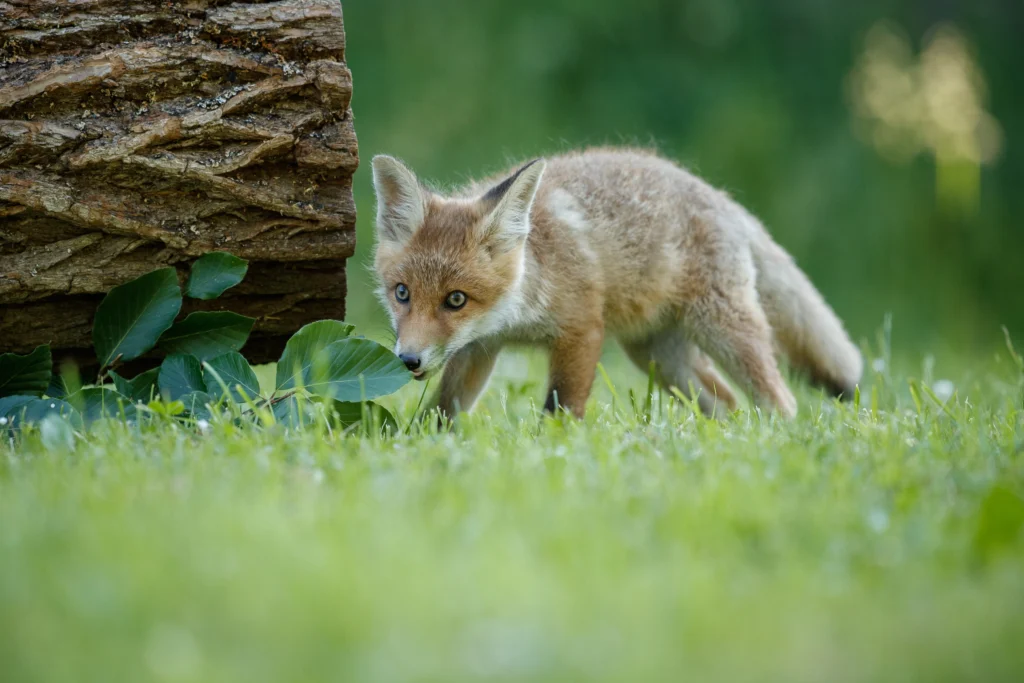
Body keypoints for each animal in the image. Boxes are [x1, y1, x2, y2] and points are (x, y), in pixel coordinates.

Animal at [372, 147, 860, 419]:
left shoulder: (583, 329)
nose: (409, 360)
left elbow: (560, 410)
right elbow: (443, 412)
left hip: (724, 331)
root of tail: (724, 199)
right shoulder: (479, 348)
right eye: (402, 293)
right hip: (660, 357)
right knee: (727, 403)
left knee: (781, 401)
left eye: (456, 299)